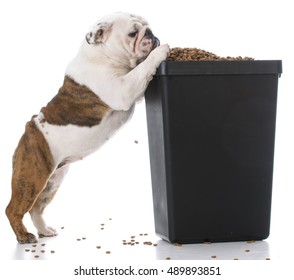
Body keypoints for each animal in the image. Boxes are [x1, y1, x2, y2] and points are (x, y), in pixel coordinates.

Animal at [5, 12, 170, 243]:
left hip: (53, 180)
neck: (102, 55)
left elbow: (140, 72)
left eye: (147, 26)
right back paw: (24, 236)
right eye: (132, 33)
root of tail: (28, 131)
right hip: (31, 177)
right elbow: (140, 70)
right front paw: (160, 52)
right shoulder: (123, 89)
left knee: (36, 208)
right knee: (14, 209)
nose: (150, 33)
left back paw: (44, 230)